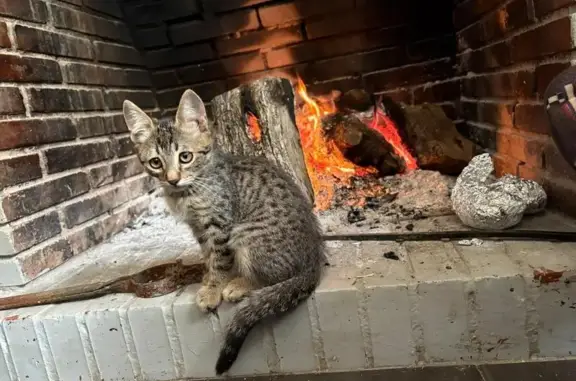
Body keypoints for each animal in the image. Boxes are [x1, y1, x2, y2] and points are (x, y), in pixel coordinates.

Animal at [122, 89, 324, 374]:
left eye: (185, 156)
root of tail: (313, 260)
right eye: (155, 162)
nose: (172, 179)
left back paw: (239, 284)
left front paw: (214, 289)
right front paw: (208, 280)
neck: (188, 190)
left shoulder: (220, 225)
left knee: (274, 278)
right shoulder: (199, 228)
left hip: (246, 232)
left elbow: (219, 259)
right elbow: (208, 257)